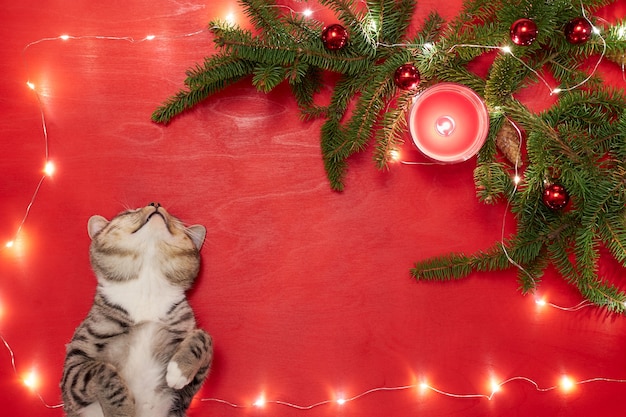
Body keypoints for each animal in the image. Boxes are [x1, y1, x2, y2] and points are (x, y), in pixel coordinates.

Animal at [61, 203, 212, 416]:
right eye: (128, 212)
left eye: (175, 218)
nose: (155, 203)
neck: (146, 290)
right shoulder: (72, 371)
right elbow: (102, 371)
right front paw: (121, 411)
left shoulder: (186, 395)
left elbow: (205, 338)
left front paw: (178, 370)